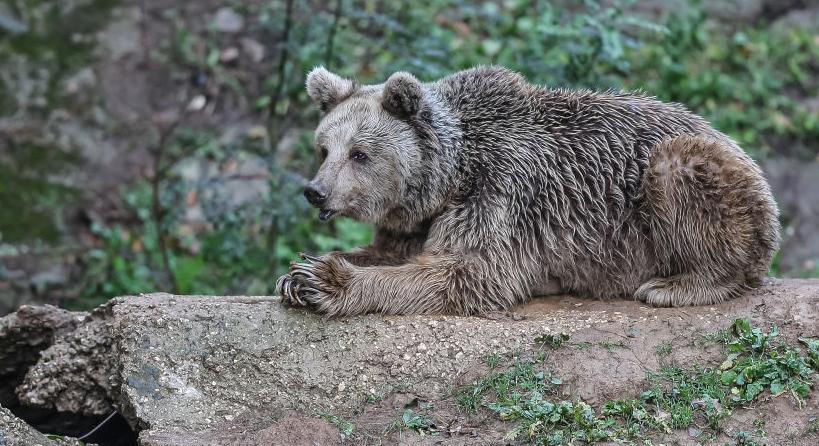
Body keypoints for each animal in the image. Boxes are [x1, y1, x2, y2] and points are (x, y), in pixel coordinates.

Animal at [276, 66, 780, 318]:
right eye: (324, 148)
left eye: (359, 153)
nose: (316, 192)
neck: (449, 175)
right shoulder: (418, 219)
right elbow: (391, 251)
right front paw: (297, 274)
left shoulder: (503, 190)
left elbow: (468, 272)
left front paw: (323, 281)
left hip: (689, 174)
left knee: (682, 173)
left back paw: (675, 284)